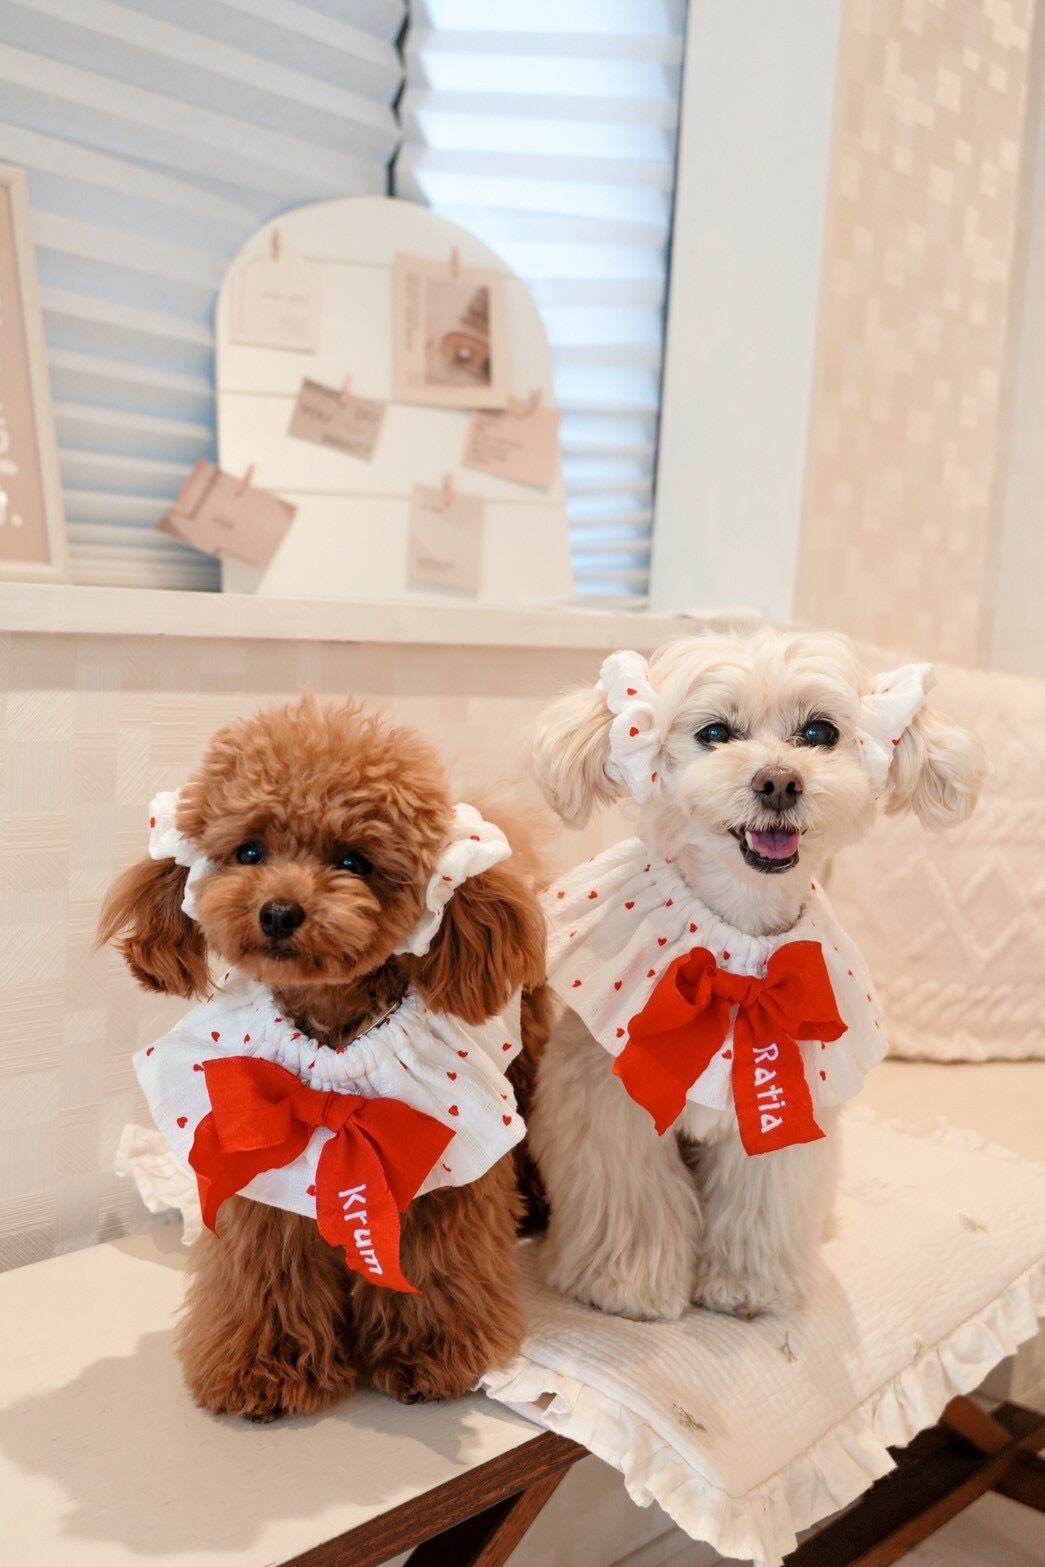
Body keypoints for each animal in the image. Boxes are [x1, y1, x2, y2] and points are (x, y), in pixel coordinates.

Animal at [99, 695, 547, 1419]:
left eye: (354, 861)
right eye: (250, 851)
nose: (280, 912)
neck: (335, 1025)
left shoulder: (445, 1162)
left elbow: (433, 1259)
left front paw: (429, 1357)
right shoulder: (264, 1158)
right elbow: (270, 1266)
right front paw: (266, 1370)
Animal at [528, 628, 982, 1322]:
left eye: (820, 732)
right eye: (715, 732)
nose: (778, 781)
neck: (735, 941)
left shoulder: (788, 1113)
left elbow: (762, 1200)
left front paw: (748, 1287)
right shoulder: (609, 1105)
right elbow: (634, 1199)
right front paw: (626, 1287)